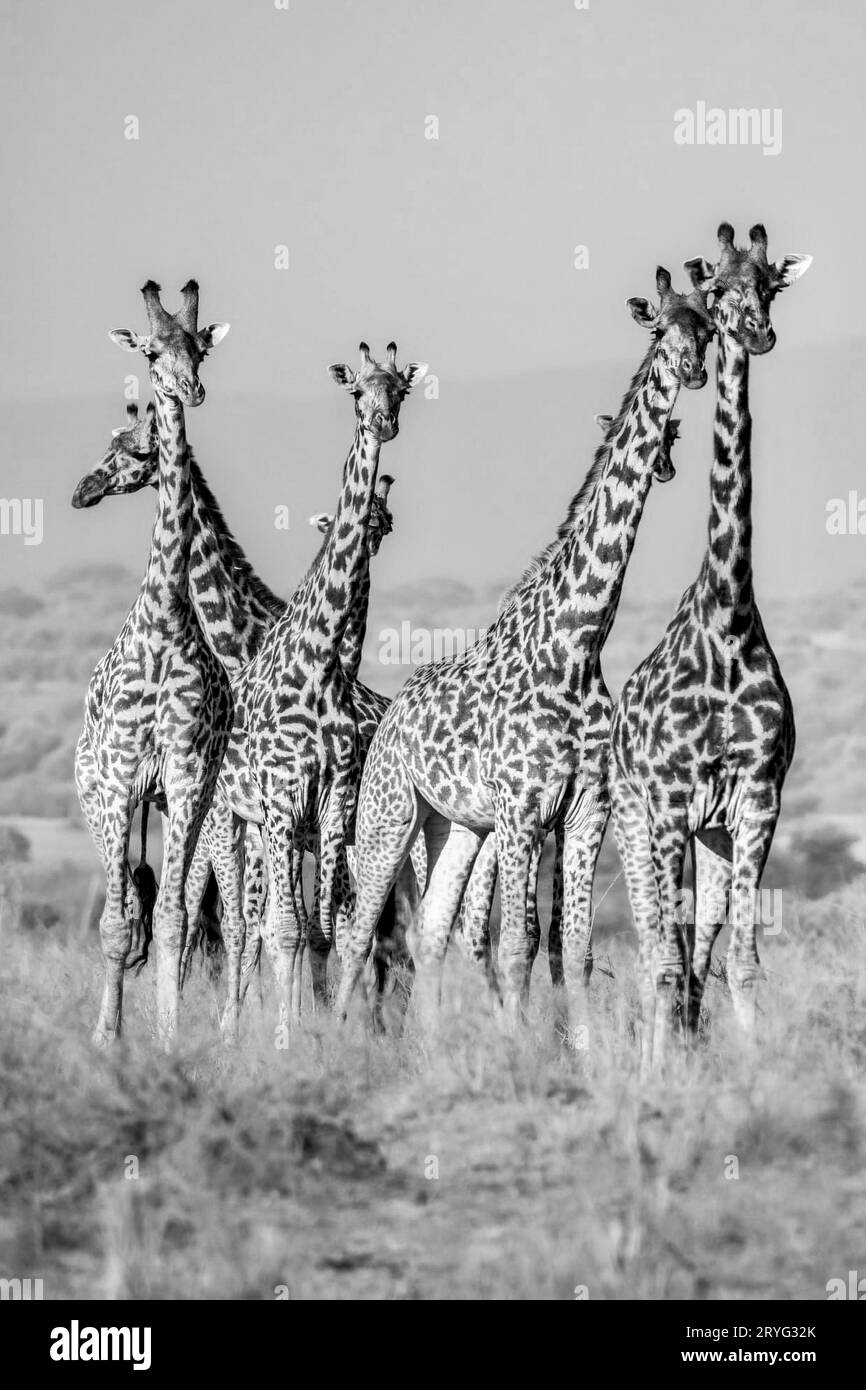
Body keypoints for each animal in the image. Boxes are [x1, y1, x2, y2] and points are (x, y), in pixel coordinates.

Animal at [205, 342, 426, 1033]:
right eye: (356, 391)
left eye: (400, 390)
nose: (383, 424)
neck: (325, 666)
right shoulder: (281, 800)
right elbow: (287, 928)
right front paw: (286, 1038)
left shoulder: (334, 802)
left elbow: (324, 931)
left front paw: (323, 1031)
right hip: (234, 819)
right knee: (243, 925)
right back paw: (236, 1029)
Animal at [335, 269, 714, 1028]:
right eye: (662, 328)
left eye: (707, 327)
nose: (693, 368)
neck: (577, 643)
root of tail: (389, 716)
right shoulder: (522, 808)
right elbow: (518, 946)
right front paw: (523, 1048)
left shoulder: (585, 807)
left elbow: (576, 950)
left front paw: (579, 1053)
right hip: (391, 811)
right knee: (361, 933)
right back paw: (321, 1040)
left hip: (455, 825)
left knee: (429, 931)